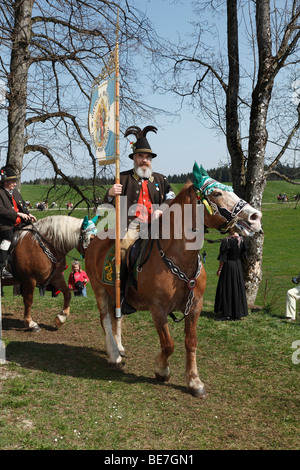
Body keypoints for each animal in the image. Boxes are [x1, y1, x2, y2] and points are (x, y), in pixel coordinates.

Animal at [85, 165, 262, 396]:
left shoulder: (195, 306)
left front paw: (194, 381)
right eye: (216, 193)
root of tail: (94, 239)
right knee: (105, 319)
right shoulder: (158, 308)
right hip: (99, 290)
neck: (177, 257)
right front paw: (161, 369)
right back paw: (114, 354)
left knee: (117, 318)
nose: (255, 216)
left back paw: (119, 347)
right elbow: (168, 344)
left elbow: (191, 342)